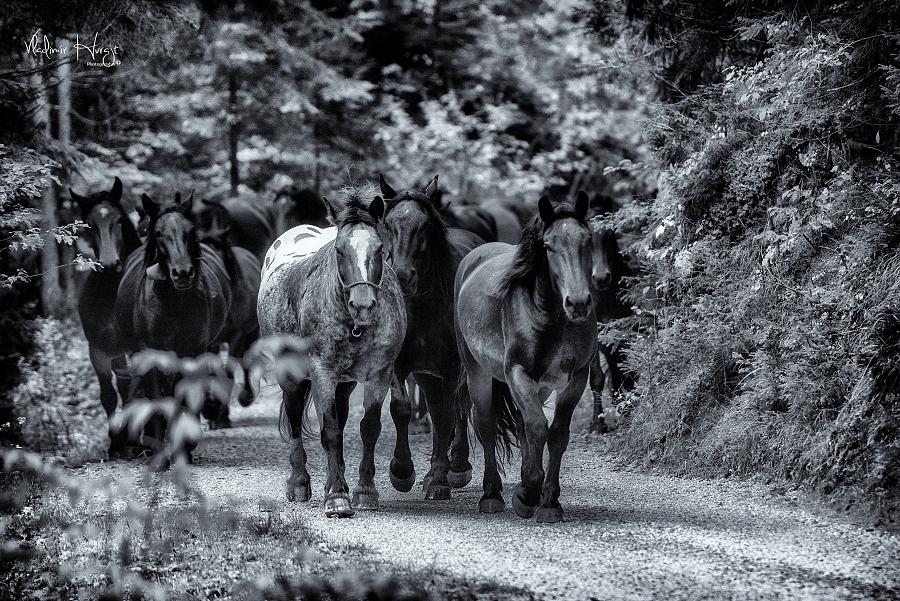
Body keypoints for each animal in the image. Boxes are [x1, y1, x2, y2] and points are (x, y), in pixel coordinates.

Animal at [71, 177, 142, 454]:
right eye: (90, 224)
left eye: (119, 220)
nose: (111, 264)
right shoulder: (98, 350)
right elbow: (108, 395)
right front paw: (115, 439)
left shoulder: (137, 349)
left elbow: (134, 391)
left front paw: (132, 439)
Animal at [114, 192, 234, 468]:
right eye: (158, 233)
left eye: (192, 231)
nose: (182, 273)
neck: (173, 303)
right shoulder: (149, 354)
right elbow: (158, 401)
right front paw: (160, 457)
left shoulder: (191, 352)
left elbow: (183, 401)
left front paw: (183, 451)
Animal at [255, 186, 406, 516]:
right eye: (338, 250)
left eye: (379, 249)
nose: (362, 304)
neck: (354, 325)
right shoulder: (322, 372)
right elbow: (331, 432)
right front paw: (337, 497)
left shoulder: (380, 373)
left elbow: (369, 428)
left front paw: (364, 491)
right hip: (290, 374)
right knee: (295, 419)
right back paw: (299, 483)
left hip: (344, 383)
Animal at [376, 176, 486, 500]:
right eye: (388, 223)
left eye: (425, 225)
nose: (402, 275)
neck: (423, 307)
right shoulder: (399, 364)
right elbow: (401, 408)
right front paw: (402, 470)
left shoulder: (451, 367)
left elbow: (446, 414)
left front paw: (439, 477)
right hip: (427, 374)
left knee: (459, 406)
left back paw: (457, 466)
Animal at [458, 191, 596, 520]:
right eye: (548, 245)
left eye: (588, 240)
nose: (578, 302)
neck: (553, 319)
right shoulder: (519, 373)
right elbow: (537, 427)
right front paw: (527, 493)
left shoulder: (576, 378)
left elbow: (556, 434)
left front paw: (549, 502)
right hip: (478, 373)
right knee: (486, 426)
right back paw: (491, 495)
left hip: (540, 385)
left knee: (522, 427)